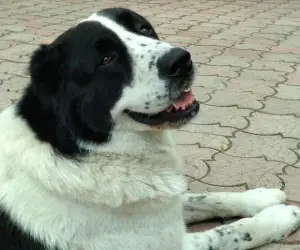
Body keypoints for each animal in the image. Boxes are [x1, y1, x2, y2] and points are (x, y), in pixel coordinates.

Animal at [0, 7, 300, 250]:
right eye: (107, 59)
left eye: (144, 28)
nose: (181, 60)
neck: (86, 148)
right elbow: (230, 233)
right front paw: (279, 216)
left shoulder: (163, 207)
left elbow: (204, 198)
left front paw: (260, 197)